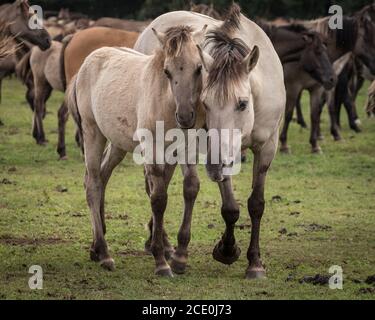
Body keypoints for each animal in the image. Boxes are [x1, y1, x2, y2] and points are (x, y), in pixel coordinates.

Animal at [67, 25, 209, 276]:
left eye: (198, 68)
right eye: (167, 71)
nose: (185, 116)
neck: (166, 101)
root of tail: (86, 64)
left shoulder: (186, 147)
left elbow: (190, 188)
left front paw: (180, 256)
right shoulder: (152, 149)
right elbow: (158, 198)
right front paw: (161, 260)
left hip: (117, 143)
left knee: (101, 178)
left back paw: (96, 247)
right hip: (93, 133)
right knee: (92, 184)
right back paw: (104, 253)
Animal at [137, 5, 286, 280]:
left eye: (242, 103)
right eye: (205, 104)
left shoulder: (267, 148)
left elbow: (256, 204)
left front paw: (255, 263)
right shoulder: (210, 148)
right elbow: (229, 207)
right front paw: (226, 250)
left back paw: (162, 242)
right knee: (159, 186)